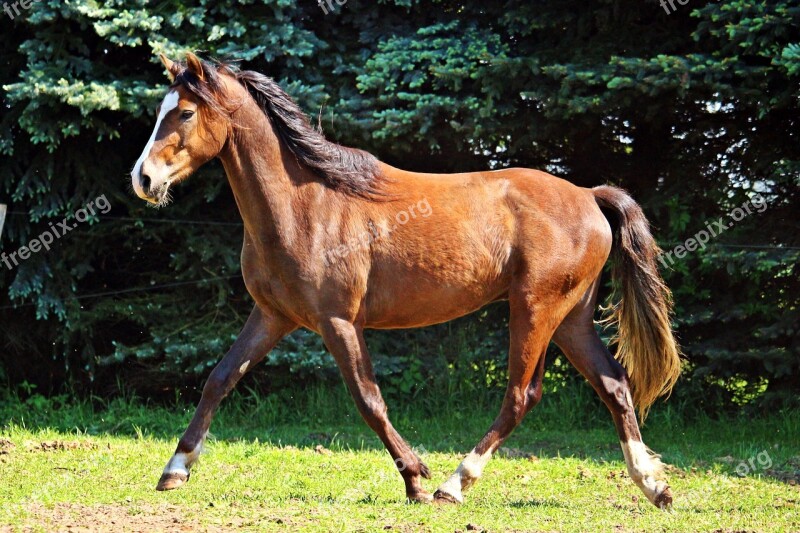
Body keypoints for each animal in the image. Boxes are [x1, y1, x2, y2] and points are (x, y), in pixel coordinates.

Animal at [131, 53, 680, 508]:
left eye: (184, 113)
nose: (143, 179)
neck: (305, 205)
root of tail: (590, 196)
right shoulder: (272, 316)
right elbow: (219, 379)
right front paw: (174, 470)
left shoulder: (338, 321)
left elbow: (369, 400)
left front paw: (415, 478)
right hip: (570, 318)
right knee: (613, 383)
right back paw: (654, 486)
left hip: (535, 309)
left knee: (522, 395)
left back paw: (453, 485)